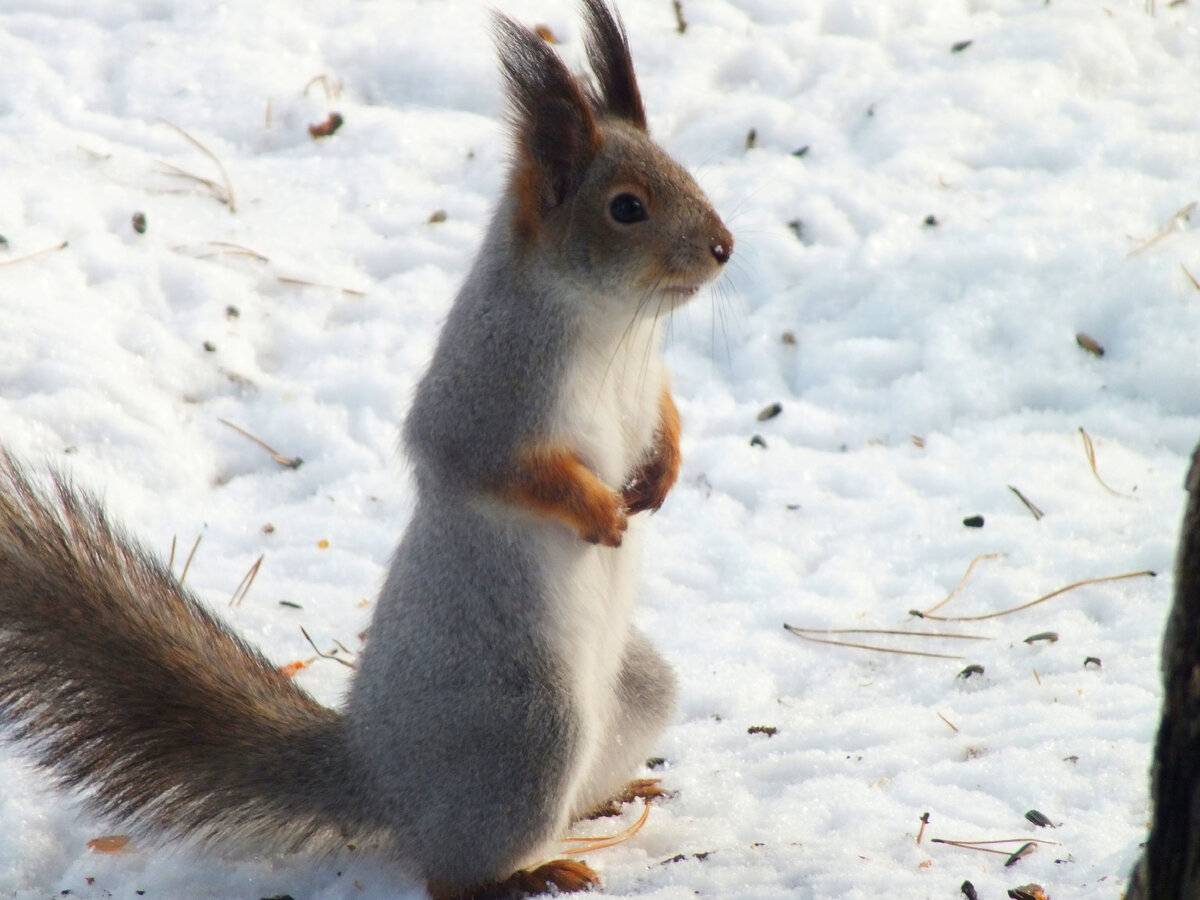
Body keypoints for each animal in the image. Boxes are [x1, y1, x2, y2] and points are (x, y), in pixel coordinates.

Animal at [0, 1, 729, 900]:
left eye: (682, 169)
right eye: (627, 207)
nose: (725, 245)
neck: (613, 328)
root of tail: (379, 777)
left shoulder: (645, 384)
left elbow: (665, 419)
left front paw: (661, 475)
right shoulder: (486, 392)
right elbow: (491, 464)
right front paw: (597, 510)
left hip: (635, 693)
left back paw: (611, 800)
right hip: (531, 730)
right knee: (449, 871)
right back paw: (529, 871)